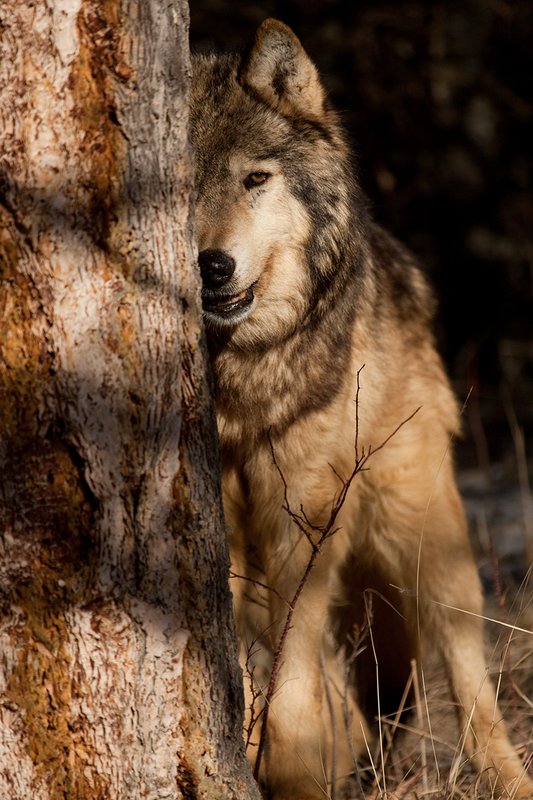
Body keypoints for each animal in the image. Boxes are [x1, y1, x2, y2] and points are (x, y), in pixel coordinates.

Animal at [190, 19, 532, 800]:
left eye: (255, 179)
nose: (211, 266)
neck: (243, 375)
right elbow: (253, 671)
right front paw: (265, 755)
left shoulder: (306, 516)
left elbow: (292, 674)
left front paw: (289, 767)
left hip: (425, 539)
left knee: (470, 686)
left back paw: (506, 777)